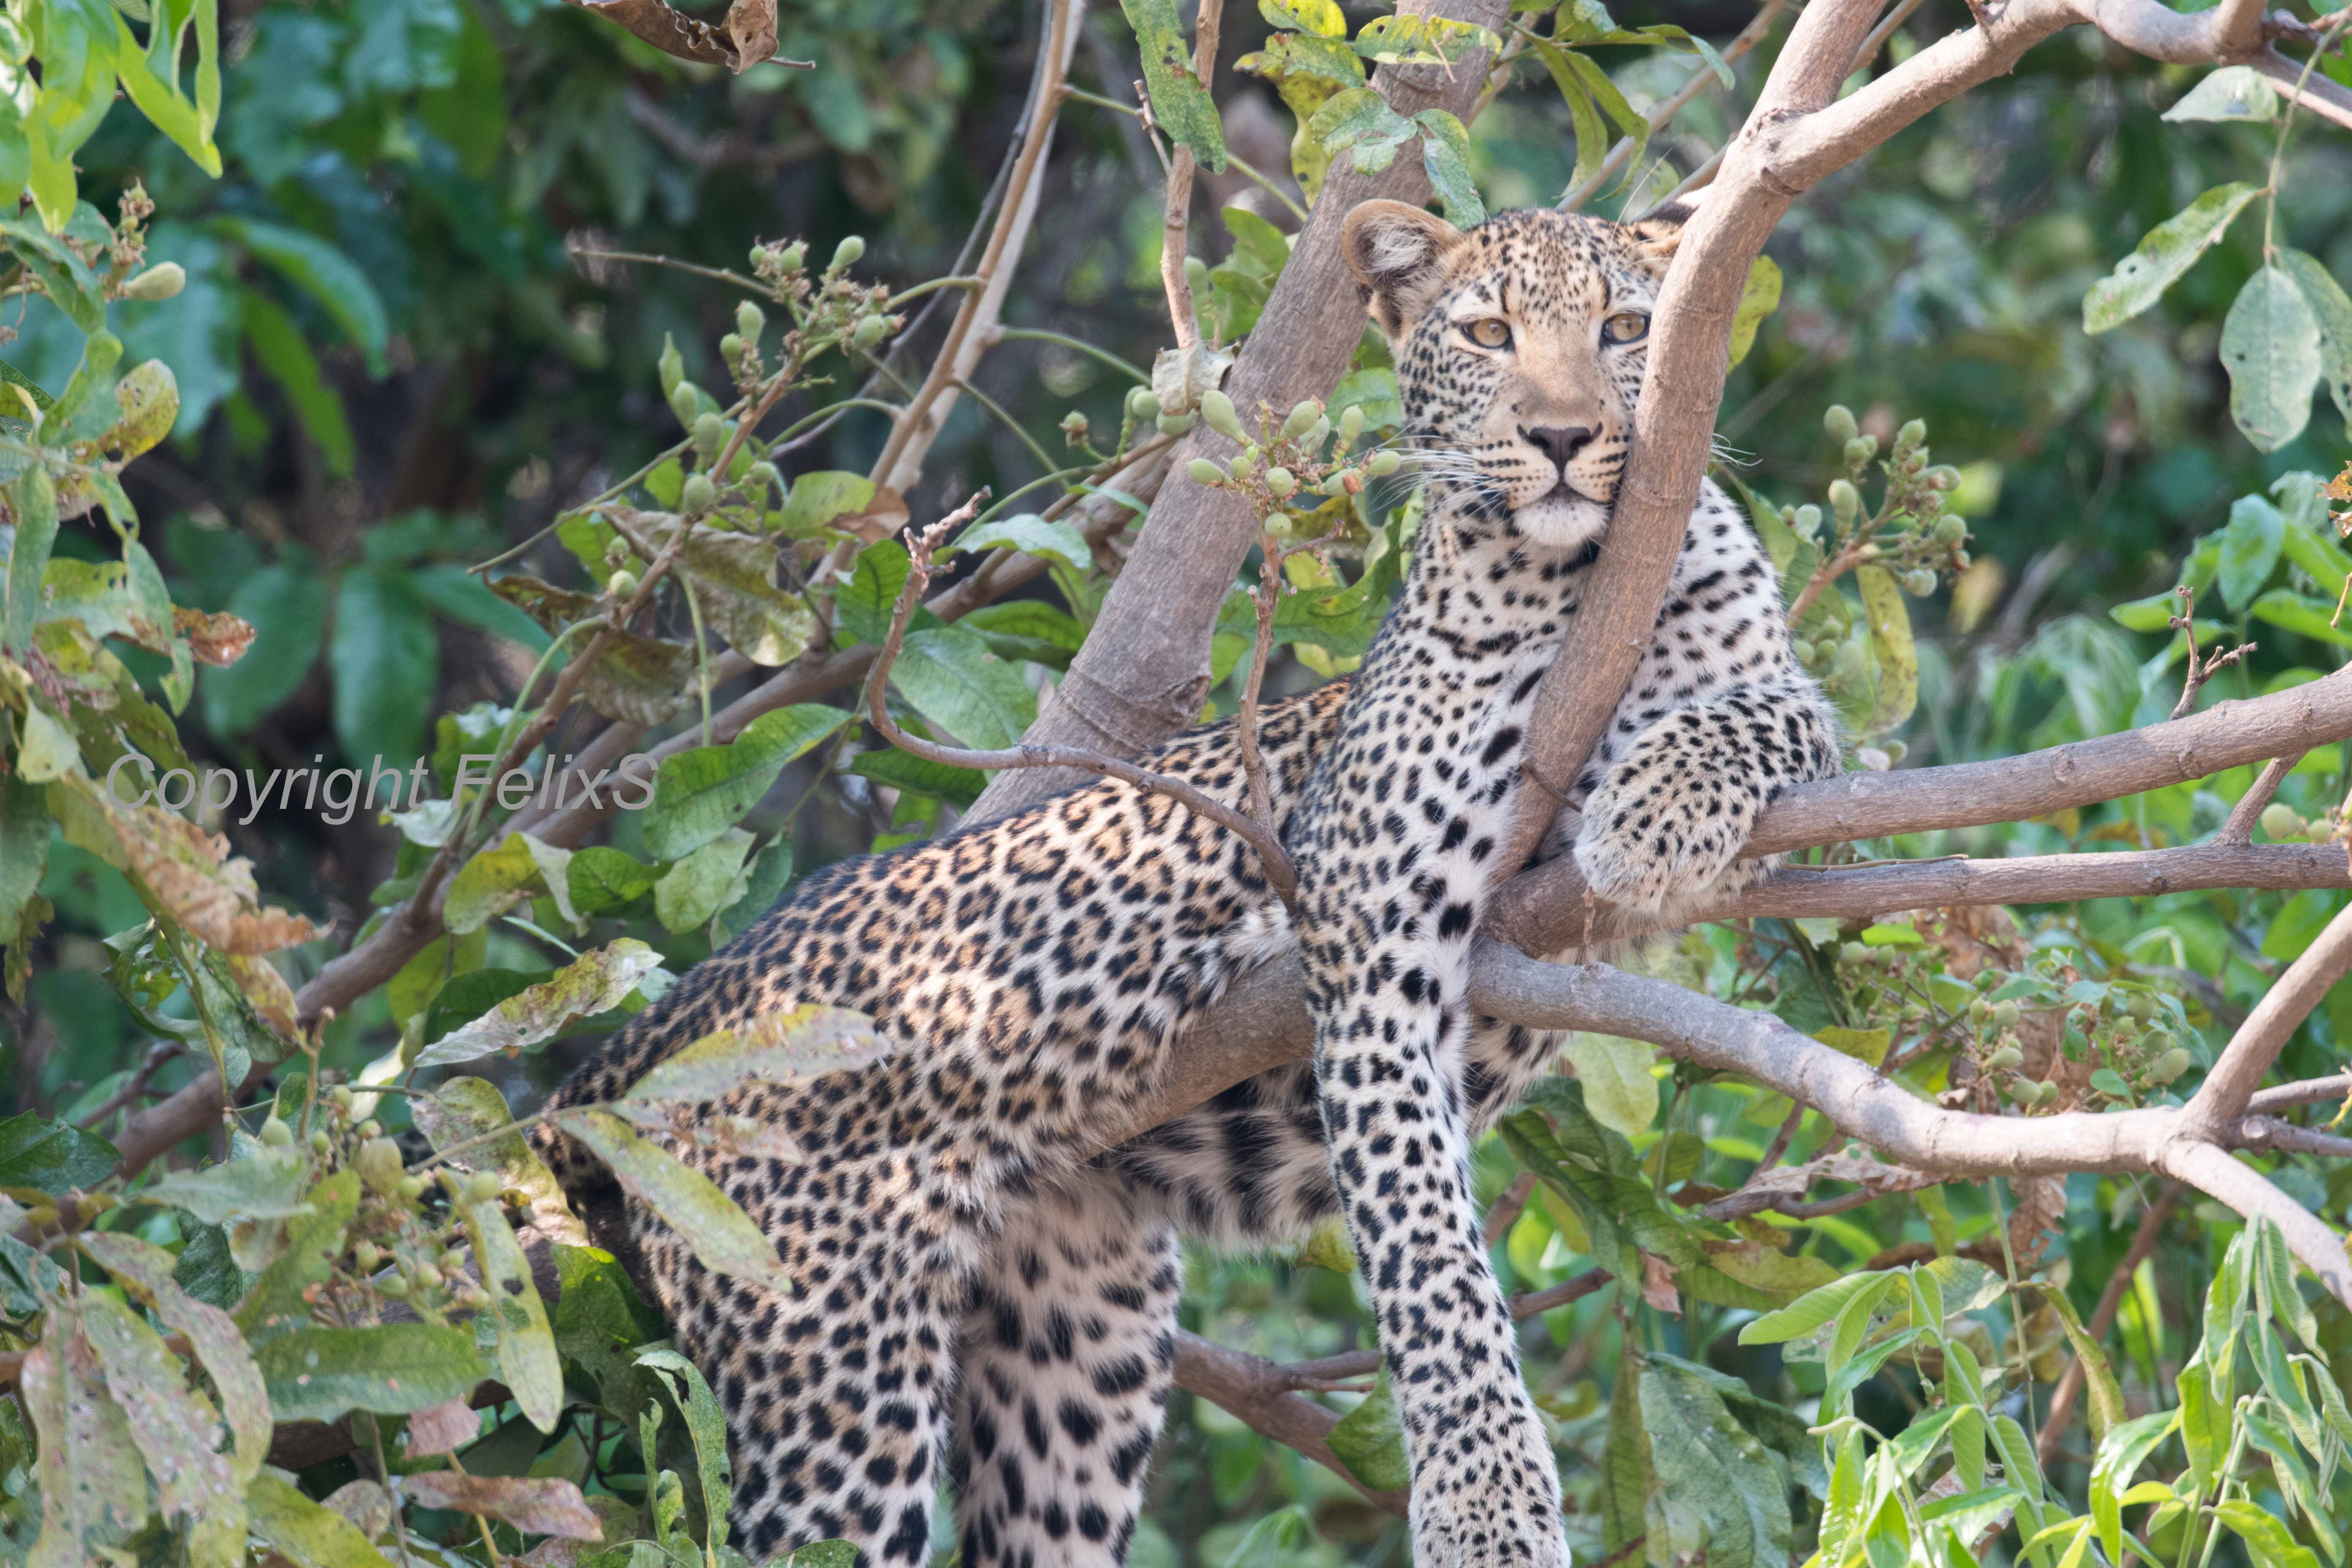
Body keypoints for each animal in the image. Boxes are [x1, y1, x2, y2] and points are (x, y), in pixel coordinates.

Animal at [534, 200, 1835, 1568]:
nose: (1564, 436)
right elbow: (1426, 1250)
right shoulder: (1369, 939)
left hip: (1074, 1351)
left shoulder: (1773, 720)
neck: (1592, 586)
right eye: (1489, 336)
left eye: (1627, 327)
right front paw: (1485, 1510)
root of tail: (646, 1039)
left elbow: (1774, 717)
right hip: (824, 1357)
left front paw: (1651, 813)